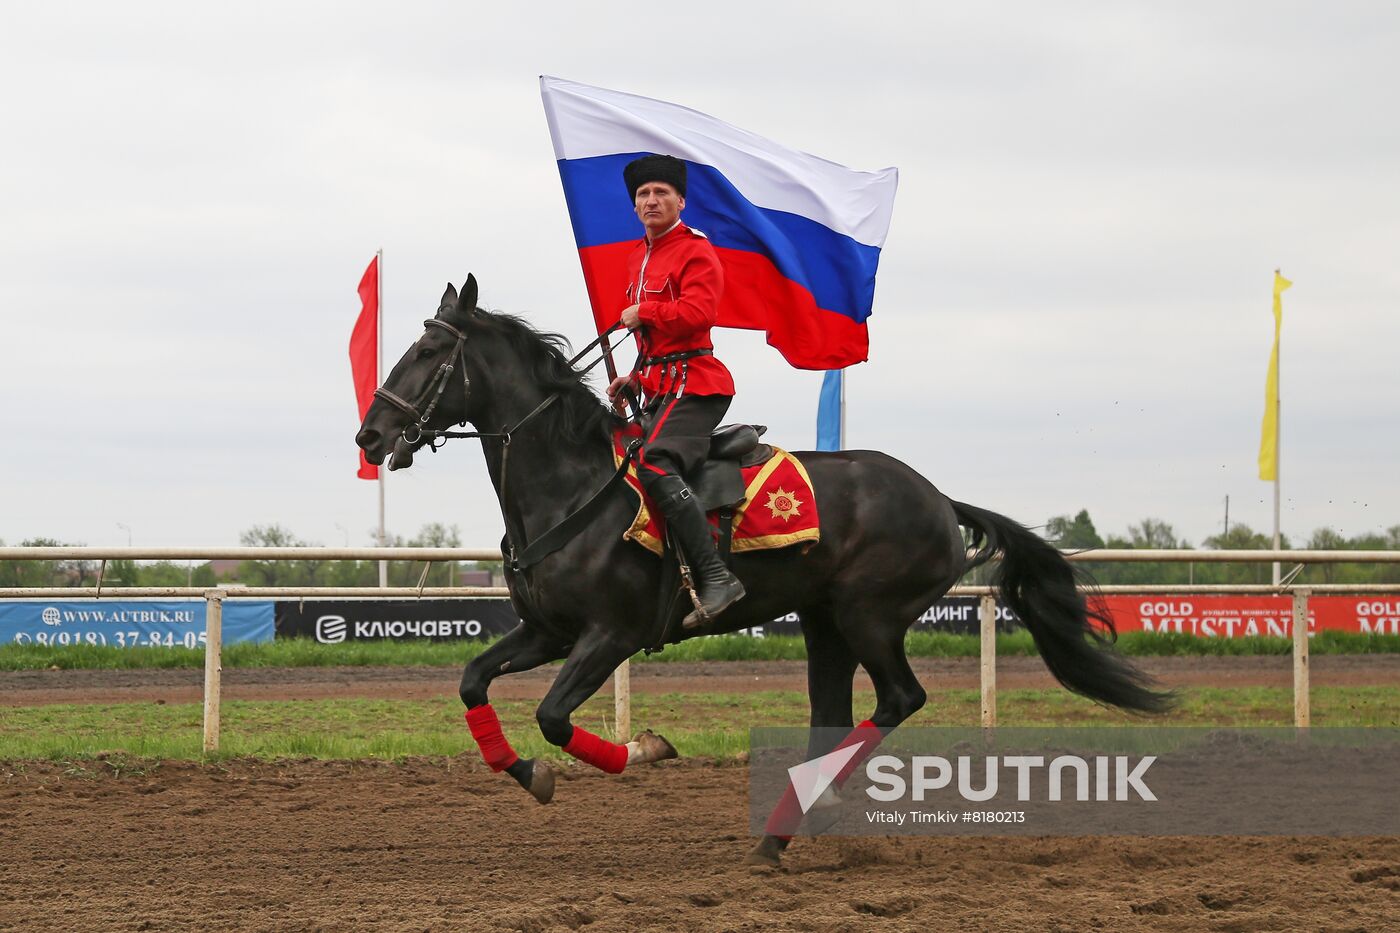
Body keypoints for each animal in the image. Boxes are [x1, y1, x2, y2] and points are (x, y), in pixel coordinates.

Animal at [352, 275, 1170, 862]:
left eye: (428, 353)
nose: (371, 433)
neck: (574, 486)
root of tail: (939, 498)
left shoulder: (610, 635)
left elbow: (555, 717)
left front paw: (645, 749)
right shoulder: (546, 631)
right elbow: (471, 682)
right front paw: (528, 773)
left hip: (869, 615)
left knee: (899, 698)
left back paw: (798, 814)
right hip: (823, 622)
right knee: (833, 711)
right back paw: (789, 826)